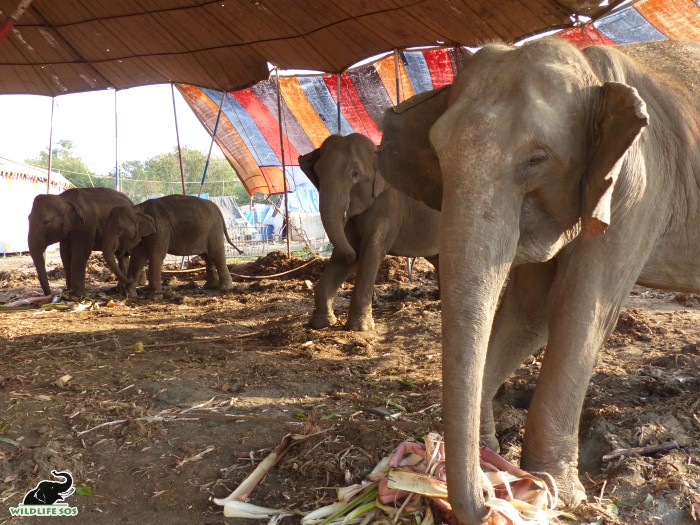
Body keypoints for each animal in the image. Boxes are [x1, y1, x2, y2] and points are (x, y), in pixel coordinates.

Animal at [101, 193, 243, 298]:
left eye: (119, 230)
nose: (128, 280)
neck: (138, 208)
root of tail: (219, 211)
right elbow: (137, 257)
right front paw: (130, 295)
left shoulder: (161, 228)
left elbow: (155, 255)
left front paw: (154, 297)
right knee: (207, 256)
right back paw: (209, 286)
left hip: (214, 230)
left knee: (216, 254)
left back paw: (224, 288)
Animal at [298, 135, 440, 332]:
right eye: (318, 171)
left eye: (355, 174)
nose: (352, 257)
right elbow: (344, 250)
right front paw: (321, 323)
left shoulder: (390, 207)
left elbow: (370, 251)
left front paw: (360, 328)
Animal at [380, 37, 700, 524]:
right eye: (437, 153)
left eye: (537, 159)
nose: (486, 497)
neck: (592, 69)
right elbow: (527, 313)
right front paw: (495, 459)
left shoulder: (640, 190)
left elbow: (580, 309)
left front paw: (560, 493)